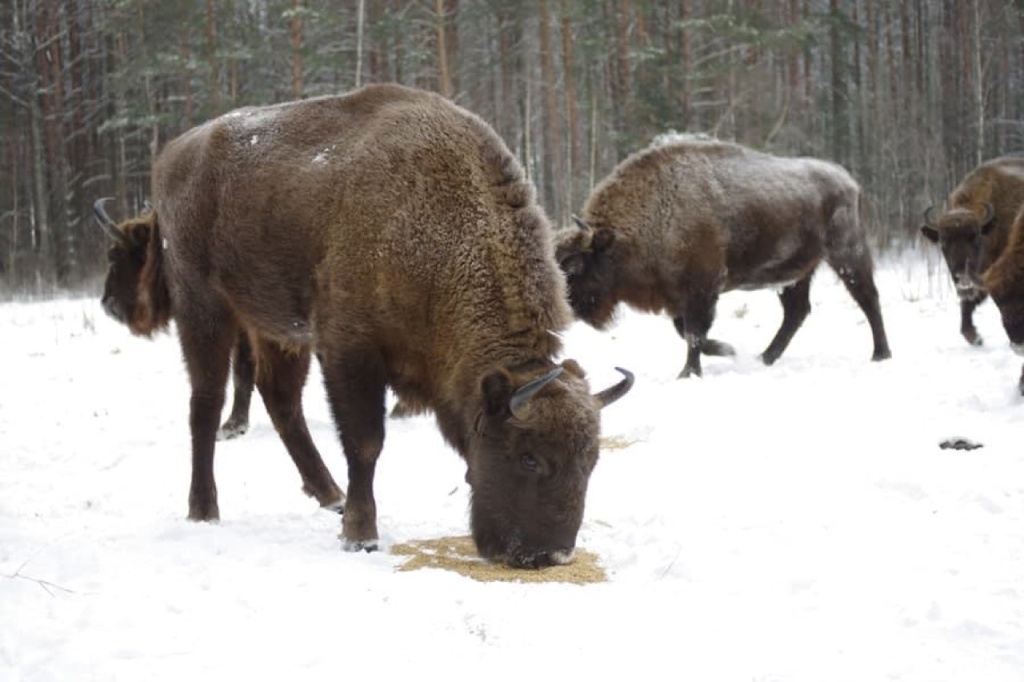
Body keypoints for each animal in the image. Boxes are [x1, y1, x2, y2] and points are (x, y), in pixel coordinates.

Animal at [96, 82, 630, 565]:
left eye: (592, 461)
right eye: (529, 456)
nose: (550, 556)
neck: (435, 230)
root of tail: (171, 156)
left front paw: (349, 519)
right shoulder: (349, 353)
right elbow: (366, 444)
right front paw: (361, 536)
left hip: (276, 329)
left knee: (281, 401)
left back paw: (327, 493)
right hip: (205, 310)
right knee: (205, 404)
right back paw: (205, 510)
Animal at [557, 133, 892, 376]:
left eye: (574, 266)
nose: (562, 308)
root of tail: (848, 180)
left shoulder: (702, 289)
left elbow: (694, 333)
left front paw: (689, 373)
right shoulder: (679, 296)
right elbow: (688, 333)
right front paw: (729, 351)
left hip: (847, 255)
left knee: (867, 298)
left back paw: (880, 355)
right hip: (795, 274)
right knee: (796, 312)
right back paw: (763, 358)